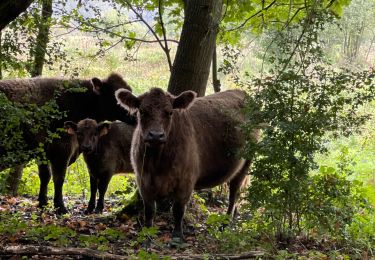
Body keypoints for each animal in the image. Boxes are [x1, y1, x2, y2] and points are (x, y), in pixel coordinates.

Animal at [0, 73, 135, 213]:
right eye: (117, 97)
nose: (136, 114)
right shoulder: (61, 149)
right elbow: (59, 178)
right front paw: (60, 206)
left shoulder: (43, 152)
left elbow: (45, 176)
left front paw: (43, 203)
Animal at [115, 87, 256, 240]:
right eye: (142, 111)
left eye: (170, 112)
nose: (156, 135)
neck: (157, 163)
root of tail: (240, 92)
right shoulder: (143, 180)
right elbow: (149, 210)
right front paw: (147, 233)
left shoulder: (186, 180)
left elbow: (178, 209)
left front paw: (177, 235)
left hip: (246, 163)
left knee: (234, 193)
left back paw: (225, 223)